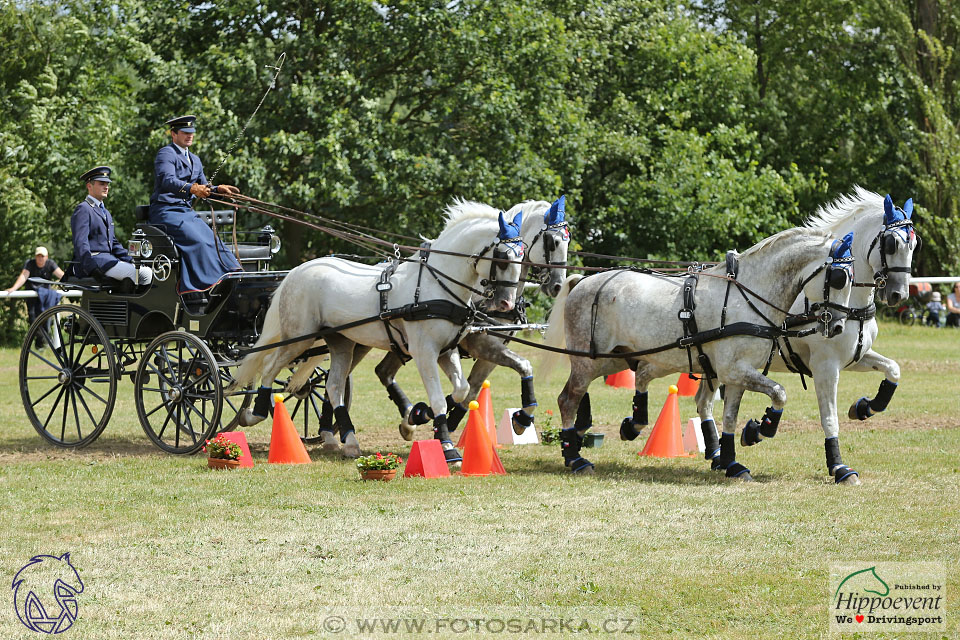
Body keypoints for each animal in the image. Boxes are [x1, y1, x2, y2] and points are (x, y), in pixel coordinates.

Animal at [230, 202, 524, 462]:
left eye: (522, 256)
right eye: (503, 257)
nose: (506, 304)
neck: (435, 285)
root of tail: (298, 271)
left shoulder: (446, 350)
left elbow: (462, 389)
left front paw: (418, 416)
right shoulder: (424, 352)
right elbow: (440, 399)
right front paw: (447, 448)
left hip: (340, 342)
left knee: (334, 386)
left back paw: (349, 442)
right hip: (298, 338)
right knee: (269, 366)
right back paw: (254, 414)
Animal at [374, 198, 568, 440]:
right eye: (552, 242)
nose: (558, 285)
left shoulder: (491, 351)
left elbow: (472, 390)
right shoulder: (480, 343)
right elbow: (521, 365)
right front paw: (522, 418)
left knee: (384, 371)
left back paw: (409, 420)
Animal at [544, 228, 852, 478]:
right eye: (838, 278)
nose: (837, 326)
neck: (747, 296)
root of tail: (583, 282)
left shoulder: (738, 372)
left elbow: (730, 416)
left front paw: (733, 460)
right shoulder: (733, 370)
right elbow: (780, 392)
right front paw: (762, 429)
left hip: (615, 359)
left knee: (623, 380)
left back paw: (615, 429)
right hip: (589, 360)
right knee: (568, 400)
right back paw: (575, 457)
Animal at [732, 190, 920, 484]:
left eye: (915, 244)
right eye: (890, 244)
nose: (898, 295)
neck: (848, 303)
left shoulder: (856, 357)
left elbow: (894, 369)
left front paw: (864, 407)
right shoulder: (825, 367)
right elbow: (829, 418)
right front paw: (840, 467)